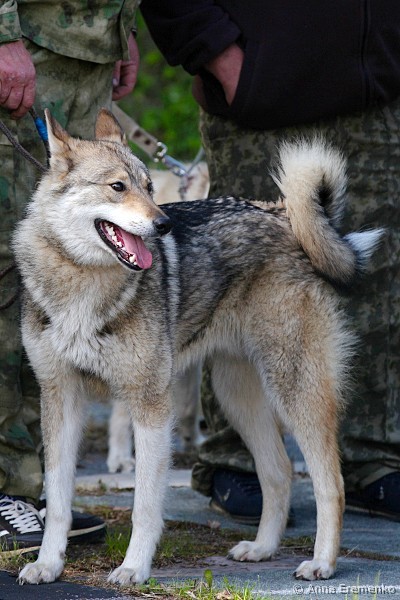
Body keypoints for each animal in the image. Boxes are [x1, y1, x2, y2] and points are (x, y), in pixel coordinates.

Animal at [15, 109, 381, 586]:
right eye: (118, 187)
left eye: (149, 188)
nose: (164, 225)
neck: (82, 283)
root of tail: (283, 215)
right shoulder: (60, 400)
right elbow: (57, 499)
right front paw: (47, 564)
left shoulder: (151, 405)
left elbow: (145, 504)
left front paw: (133, 568)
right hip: (236, 396)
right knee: (279, 472)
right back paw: (262, 549)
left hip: (293, 390)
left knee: (330, 484)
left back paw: (322, 562)